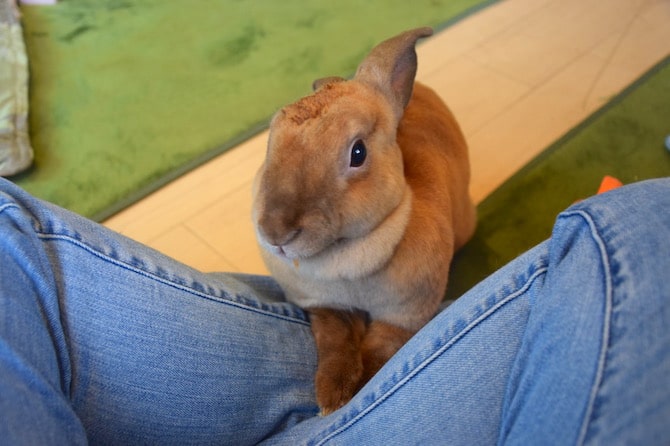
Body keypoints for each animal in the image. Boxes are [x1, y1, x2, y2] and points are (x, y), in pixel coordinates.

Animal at [252, 25, 478, 414]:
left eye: (357, 153)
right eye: (270, 146)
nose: (275, 232)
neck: (345, 255)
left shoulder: (403, 314)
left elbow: (380, 352)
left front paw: (357, 390)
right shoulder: (323, 307)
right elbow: (335, 340)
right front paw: (332, 394)